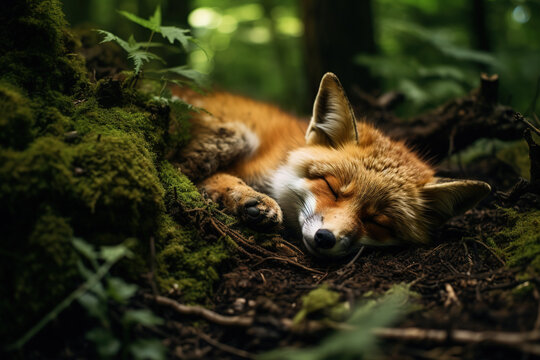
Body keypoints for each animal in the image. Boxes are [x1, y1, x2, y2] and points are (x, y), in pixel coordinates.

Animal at [171, 73, 492, 258]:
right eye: (332, 188)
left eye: (378, 221)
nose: (325, 238)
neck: (280, 156)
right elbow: (205, 177)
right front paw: (248, 199)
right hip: (232, 133)